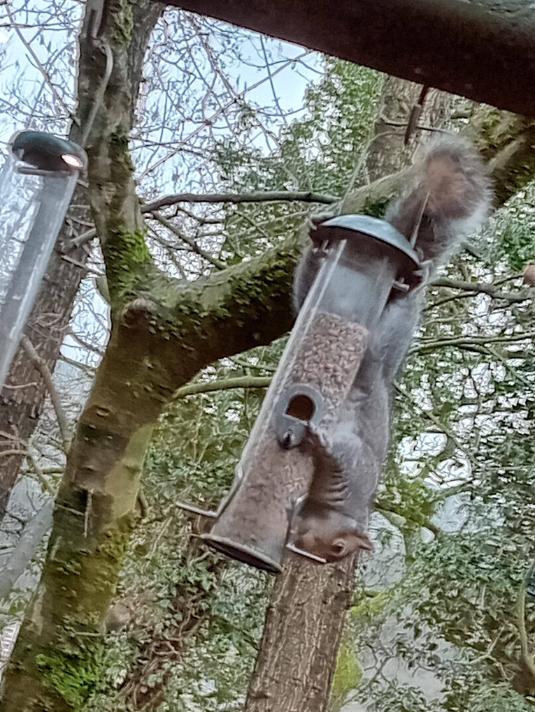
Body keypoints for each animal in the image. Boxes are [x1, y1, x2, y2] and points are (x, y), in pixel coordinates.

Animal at [289, 135, 492, 563]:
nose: (301, 548)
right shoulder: (354, 463)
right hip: (384, 325)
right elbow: (340, 451)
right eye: (338, 547)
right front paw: (321, 442)